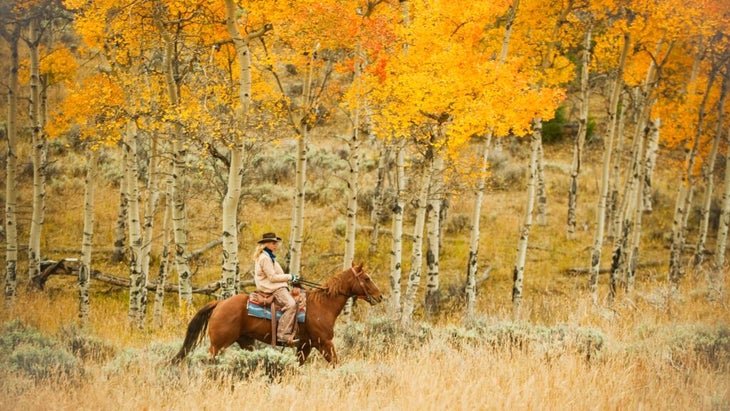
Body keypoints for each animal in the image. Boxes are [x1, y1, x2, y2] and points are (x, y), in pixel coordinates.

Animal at [173, 262, 384, 366]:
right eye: (367, 278)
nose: (380, 296)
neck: (322, 305)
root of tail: (220, 303)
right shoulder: (324, 343)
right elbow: (336, 363)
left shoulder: (305, 346)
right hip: (218, 345)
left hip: (246, 342)